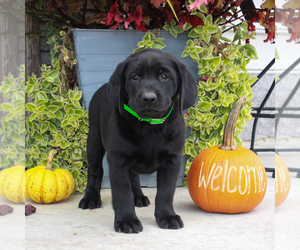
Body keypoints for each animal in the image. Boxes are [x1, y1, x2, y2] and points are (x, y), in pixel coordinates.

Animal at [78, 47, 198, 233]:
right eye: (135, 77)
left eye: (164, 76)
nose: (148, 97)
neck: (150, 126)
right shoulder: (118, 159)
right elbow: (122, 192)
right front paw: (126, 220)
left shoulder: (172, 160)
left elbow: (166, 191)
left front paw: (167, 216)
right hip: (94, 140)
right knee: (95, 170)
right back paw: (91, 197)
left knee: (133, 175)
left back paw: (139, 196)